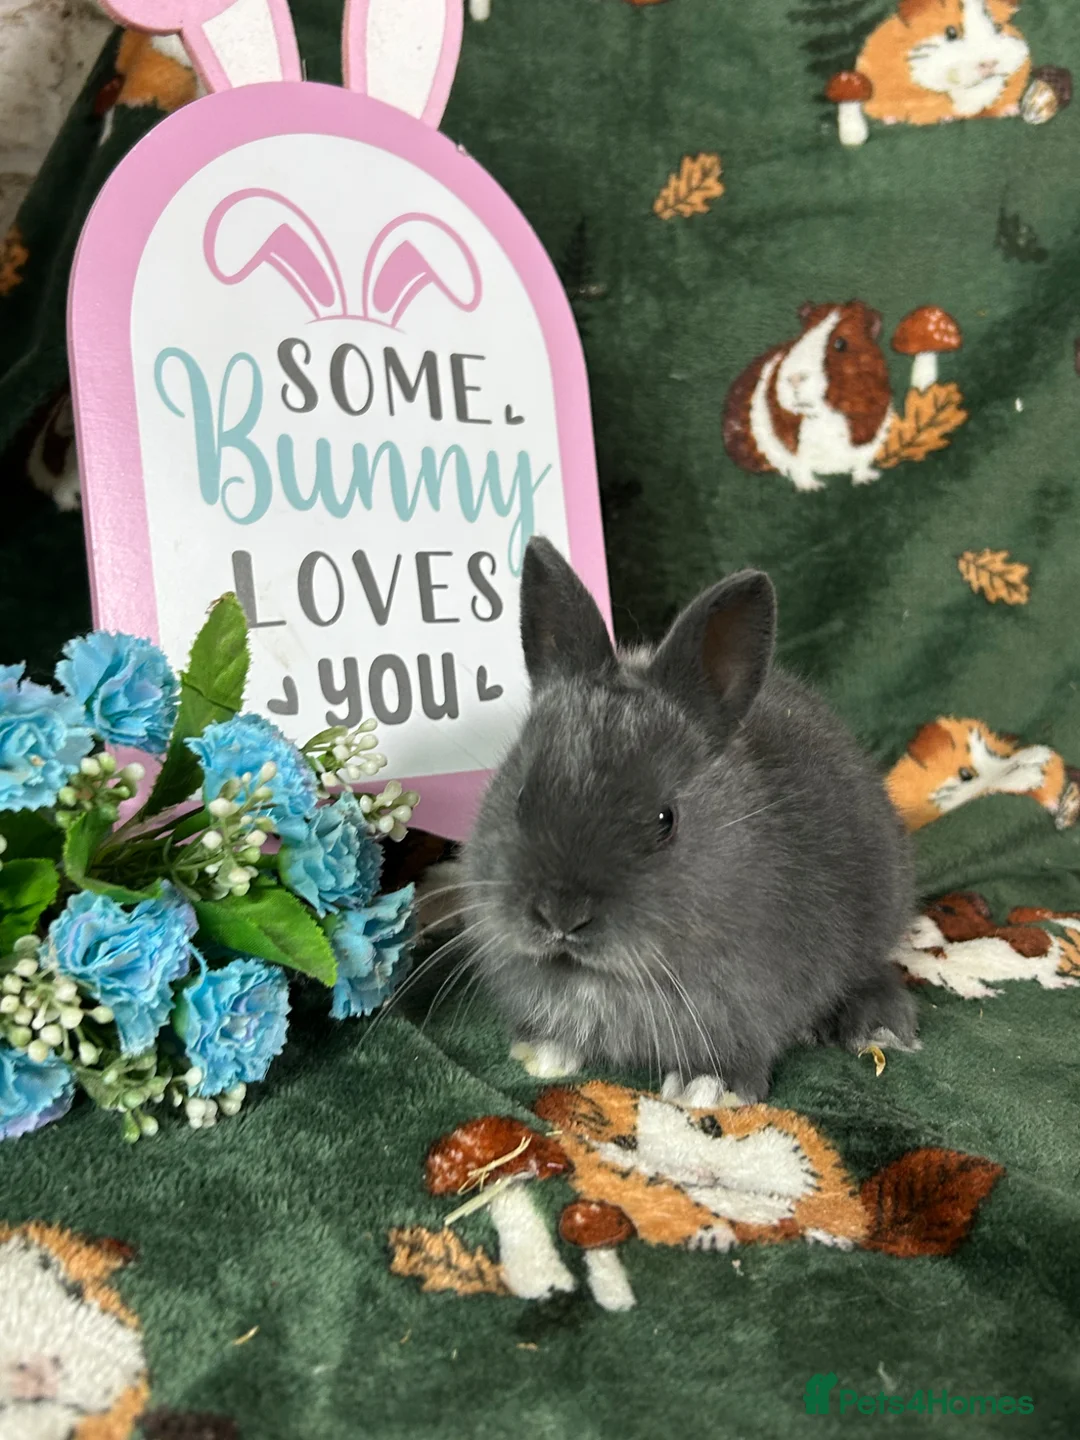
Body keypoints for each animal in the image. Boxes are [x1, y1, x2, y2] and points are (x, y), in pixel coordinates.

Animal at [461, 537, 918, 1104]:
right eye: (521, 796)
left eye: (666, 819)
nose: (561, 916)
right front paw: (543, 1054)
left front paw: (708, 1088)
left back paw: (879, 1026)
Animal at [722, 301, 893, 492]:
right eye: (801, 339)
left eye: (840, 343)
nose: (794, 378)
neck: (825, 416)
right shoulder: (792, 447)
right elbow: (800, 467)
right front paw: (812, 488)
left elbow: (861, 463)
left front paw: (867, 479)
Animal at [857, 0, 1030, 125]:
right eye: (951, 33)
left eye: (998, 27)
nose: (989, 63)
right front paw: (946, 118)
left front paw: (1011, 110)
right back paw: (891, 119)